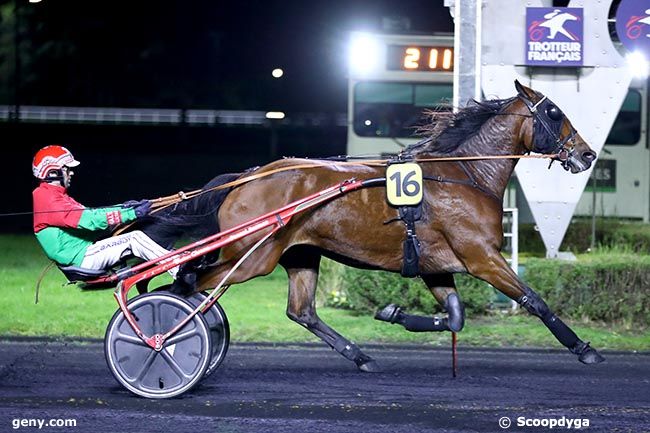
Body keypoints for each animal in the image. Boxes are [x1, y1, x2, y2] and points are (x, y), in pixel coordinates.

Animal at [140, 82, 596, 372]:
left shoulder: (437, 266)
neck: (464, 175)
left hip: (298, 254)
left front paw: (393, 313)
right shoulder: (482, 257)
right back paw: (162, 335)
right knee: (188, 282)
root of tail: (248, 176)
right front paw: (584, 348)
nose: (587, 154)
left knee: (300, 311)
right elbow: (534, 301)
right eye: (554, 112)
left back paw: (361, 356)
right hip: (252, 257)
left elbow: (455, 317)